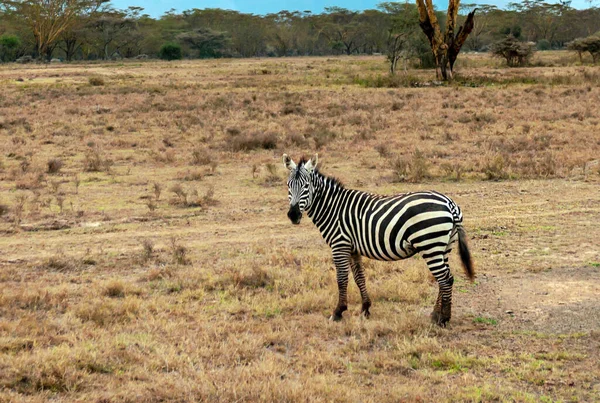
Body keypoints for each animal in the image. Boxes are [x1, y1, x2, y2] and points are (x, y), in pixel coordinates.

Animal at [282, 153, 474, 326]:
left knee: (445, 279)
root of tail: (449, 203)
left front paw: (338, 312)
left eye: (306, 186)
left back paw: (444, 319)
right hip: (443, 246)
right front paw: (365, 309)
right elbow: (359, 277)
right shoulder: (353, 248)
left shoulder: (340, 245)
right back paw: (435, 315)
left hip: (430, 245)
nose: (293, 215)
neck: (333, 208)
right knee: (446, 278)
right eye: (288, 185)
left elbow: (342, 279)